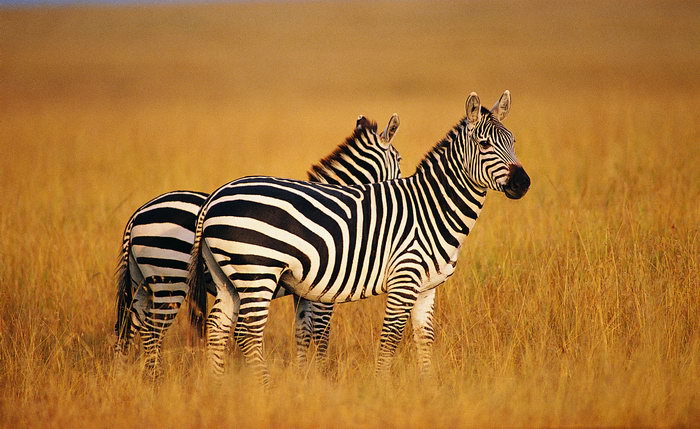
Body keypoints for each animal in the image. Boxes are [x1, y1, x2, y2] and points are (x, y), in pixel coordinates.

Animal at [114, 114, 402, 378]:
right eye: (399, 160)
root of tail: (137, 215)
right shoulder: (321, 288)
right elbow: (320, 332)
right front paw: (320, 374)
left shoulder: (303, 291)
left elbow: (302, 332)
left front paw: (302, 374)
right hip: (170, 277)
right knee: (152, 330)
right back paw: (155, 378)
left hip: (142, 281)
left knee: (128, 325)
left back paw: (124, 376)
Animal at [187, 90, 531, 385]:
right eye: (484, 144)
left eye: (513, 141)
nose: (523, 183)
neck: (430, 208)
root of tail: (215, 196)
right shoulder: (399, 281)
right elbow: (386, 338)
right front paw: (379, 388)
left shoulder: (426, 288)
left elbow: (425, 338)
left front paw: (427, 387)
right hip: (256, 271)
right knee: (247, 333)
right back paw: (265, 388)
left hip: (227, 277)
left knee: (218, 327)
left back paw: (218, 386)